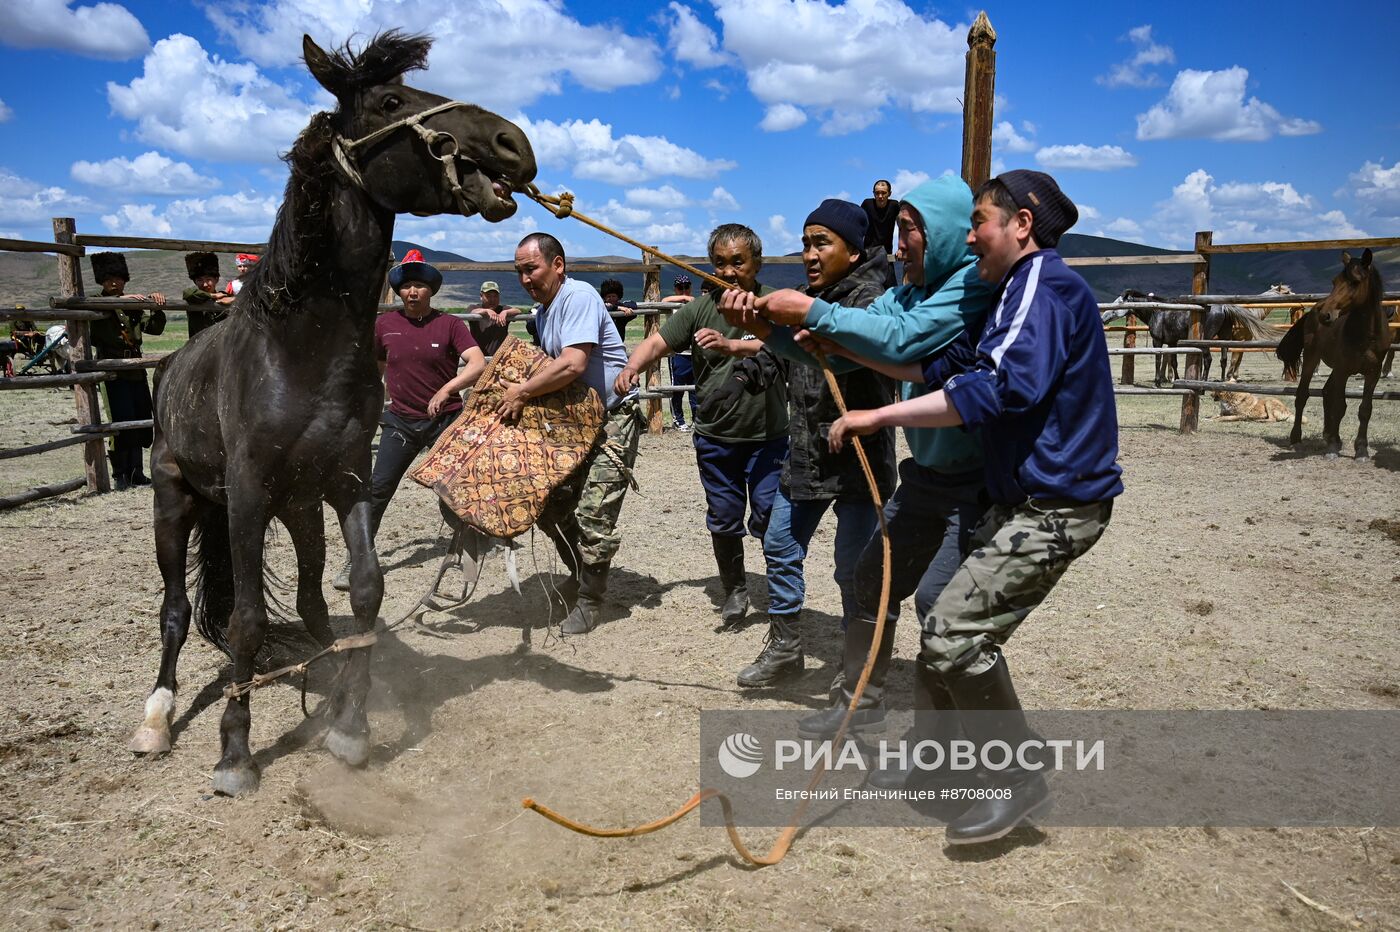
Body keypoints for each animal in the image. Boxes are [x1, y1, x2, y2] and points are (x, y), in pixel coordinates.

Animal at [130, 32, 534, 794]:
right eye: (391, 100)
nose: (514, 144)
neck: (300, 349)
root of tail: (170, 367)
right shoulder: (247, 496)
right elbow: (247, 621)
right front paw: (235, 752)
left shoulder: (344, 482)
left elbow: (366, 593)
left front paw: (351, 722)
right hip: (178, 500)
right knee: (174, 611)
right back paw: (156, 720)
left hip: (300, 508)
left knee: (314, 604)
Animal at [1282, 250, 1388, 461]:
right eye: (1334, 281)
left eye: (1355, 282)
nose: (1326, 315)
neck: (1365, 334)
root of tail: (1314, 308)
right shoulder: (1342, 370)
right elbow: (1339, 406)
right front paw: (1331, 450)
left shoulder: (1373, 373)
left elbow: (1365, 409)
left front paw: (1361, 450)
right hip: (1312, 357)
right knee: (1303, 395)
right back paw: (1297, 437)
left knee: (1325, 392)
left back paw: (1333, 437)